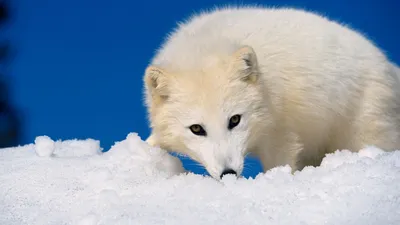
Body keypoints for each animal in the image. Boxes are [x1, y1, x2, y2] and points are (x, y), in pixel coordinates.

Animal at [141, 6, 400, 180]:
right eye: (196, 129)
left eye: (235, 120)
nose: (228, 173)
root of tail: (389, 66)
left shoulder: (281, 135)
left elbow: (280, 164)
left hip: (363, 135)